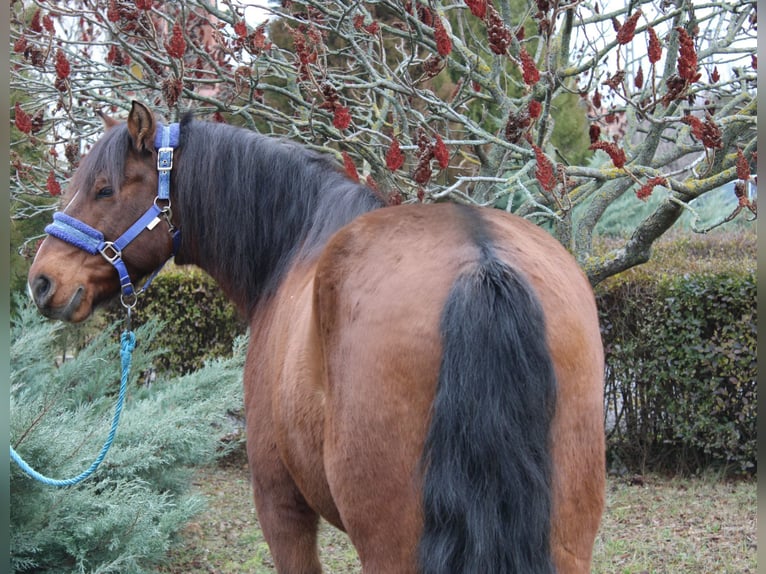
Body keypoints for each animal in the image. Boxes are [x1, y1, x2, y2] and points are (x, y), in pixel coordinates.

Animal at [28, 101, 605, 573]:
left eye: (104, 188)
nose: (42, 280)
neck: (294, 245)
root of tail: (480, 259)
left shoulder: (280, 503)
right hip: (568, 542)